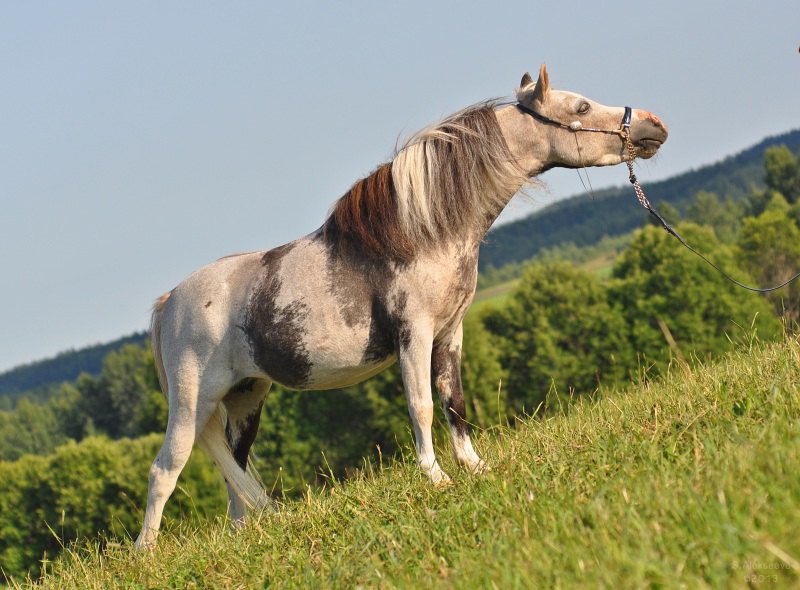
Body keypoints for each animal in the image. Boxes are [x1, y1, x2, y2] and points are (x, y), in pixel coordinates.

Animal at [136, 65, 668, 552]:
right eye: (581, 107)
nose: (653, 124)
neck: (423, 231)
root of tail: (169, 302)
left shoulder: (451, 333)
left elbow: (453, 400)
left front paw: (475, 466)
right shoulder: (415, 334)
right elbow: (422, 405)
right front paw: (435, 478)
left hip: (245, 398)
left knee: (233, 468)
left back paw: (246, 534)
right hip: (193, 401)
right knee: (167, 468)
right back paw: (146, 553)